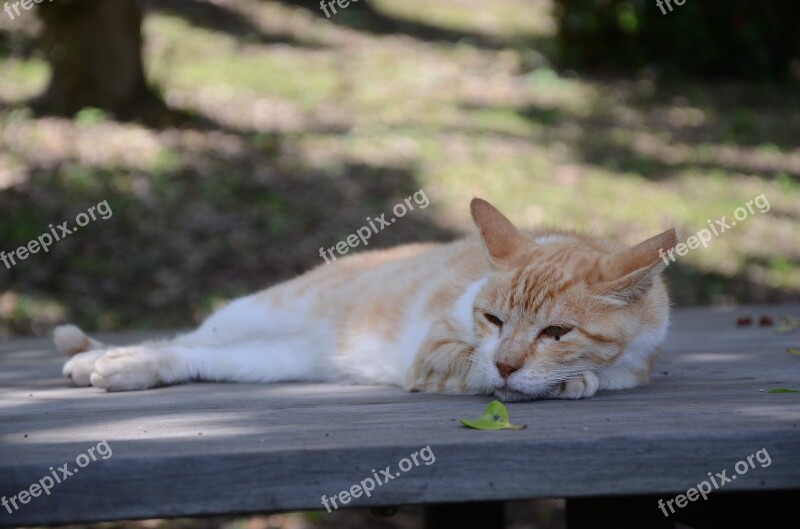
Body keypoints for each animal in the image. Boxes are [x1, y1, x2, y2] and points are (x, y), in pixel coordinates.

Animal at [56, 198, 680, 400]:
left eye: (556, 332)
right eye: (493, 318)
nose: (507, 364)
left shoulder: (639, 362)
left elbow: (604, 373)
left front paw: (570, 377)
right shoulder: (434, 352)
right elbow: (476, 365)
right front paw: (554, 381)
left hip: (270, 361)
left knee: (194, 357)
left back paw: (116, 366)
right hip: (255, 311)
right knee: (184, 337)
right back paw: (96, 356)